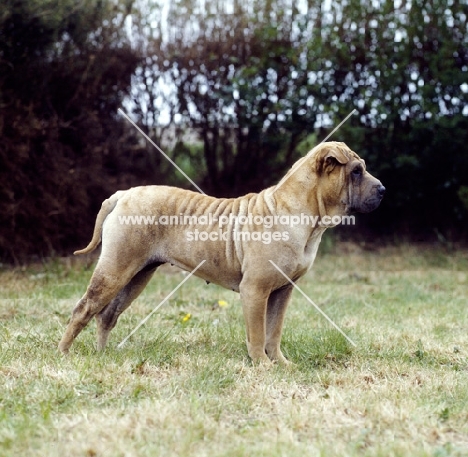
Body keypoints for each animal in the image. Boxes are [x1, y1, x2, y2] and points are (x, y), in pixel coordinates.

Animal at [58, 142, 386, 364]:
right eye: (356, 172)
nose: (383, 189)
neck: (300, 211)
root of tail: (123, 194)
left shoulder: (282, 291)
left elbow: (274, 331)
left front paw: (280, 363)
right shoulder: (255, 290)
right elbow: (258, 333)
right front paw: (262, 366)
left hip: (137, 275)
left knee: (107, 315)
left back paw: (101, 356)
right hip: (115, 269)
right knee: (83, 310)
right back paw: (63, 353)